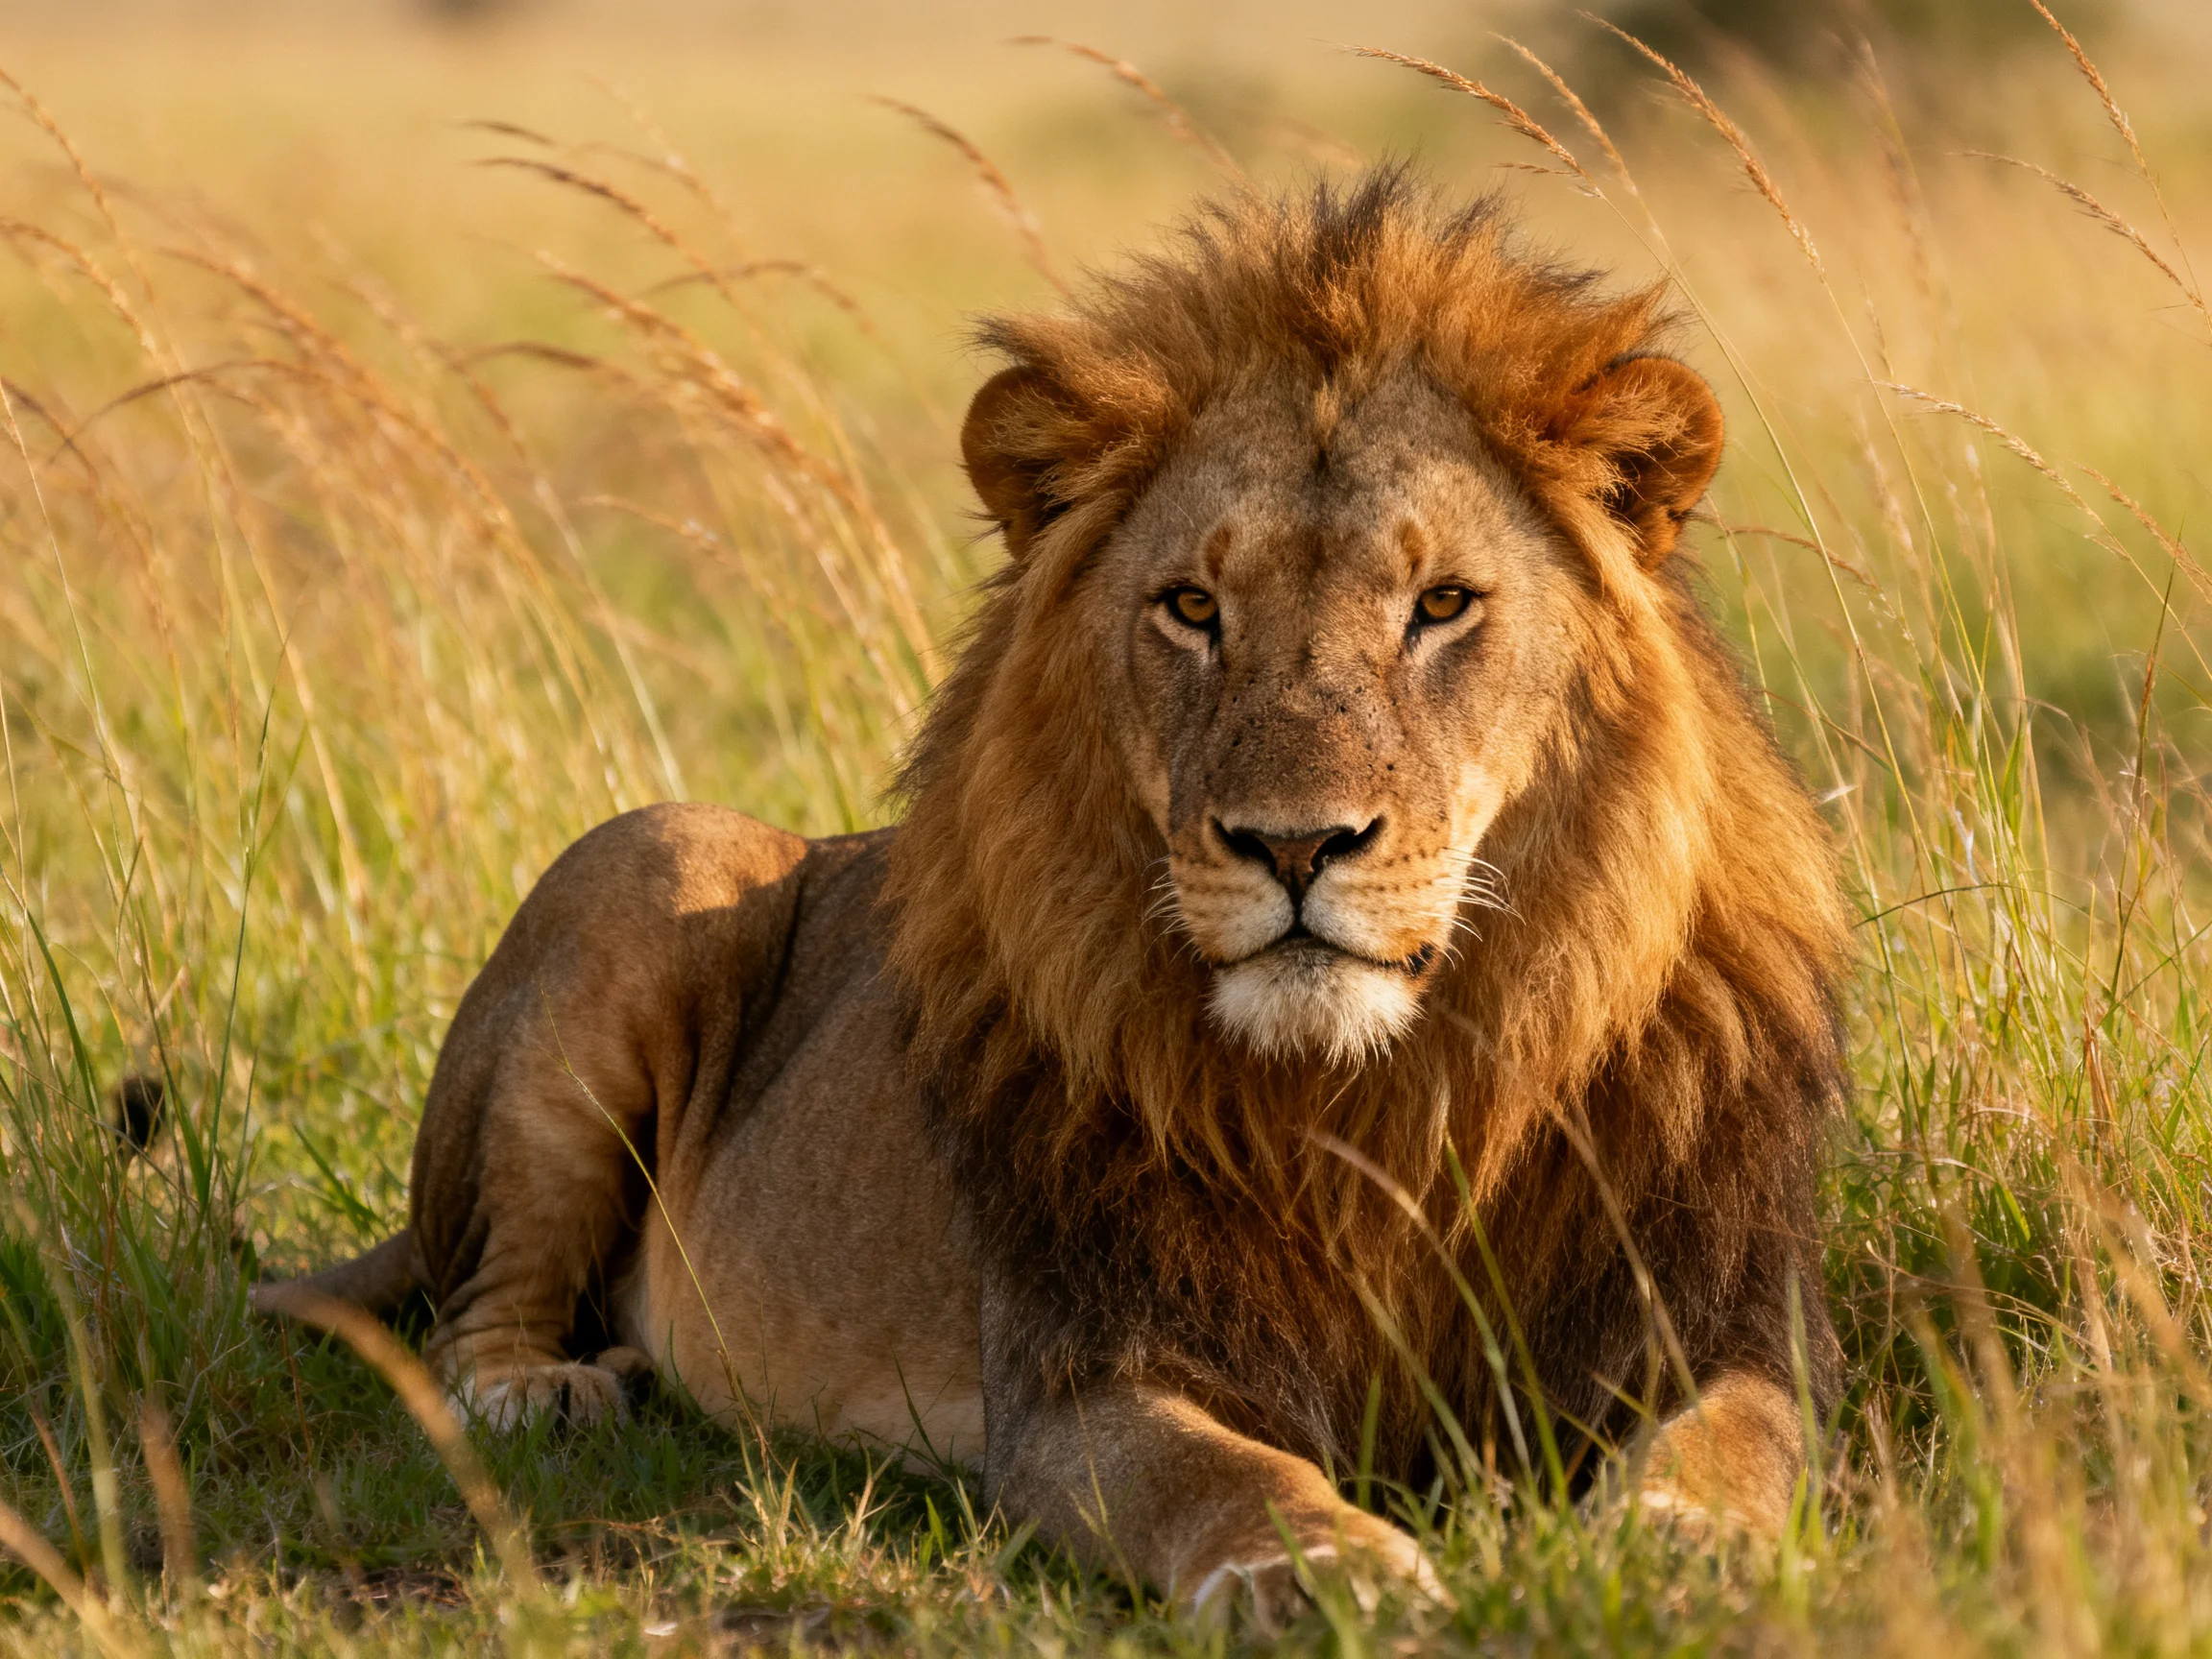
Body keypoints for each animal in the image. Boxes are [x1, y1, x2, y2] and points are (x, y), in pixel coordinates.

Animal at [256, 168, 1849, 1627]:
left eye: (1443, 605)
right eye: (1193, 609)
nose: (1294, 845)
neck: (1376, 1105)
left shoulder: (1718, 1326)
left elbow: (1734, 1445)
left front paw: (1681, 1553)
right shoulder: (1085, 1376)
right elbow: (1226, 1475)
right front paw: (1321, 1570)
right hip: (650, 854)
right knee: (471, 1318)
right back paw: (549, 1391)